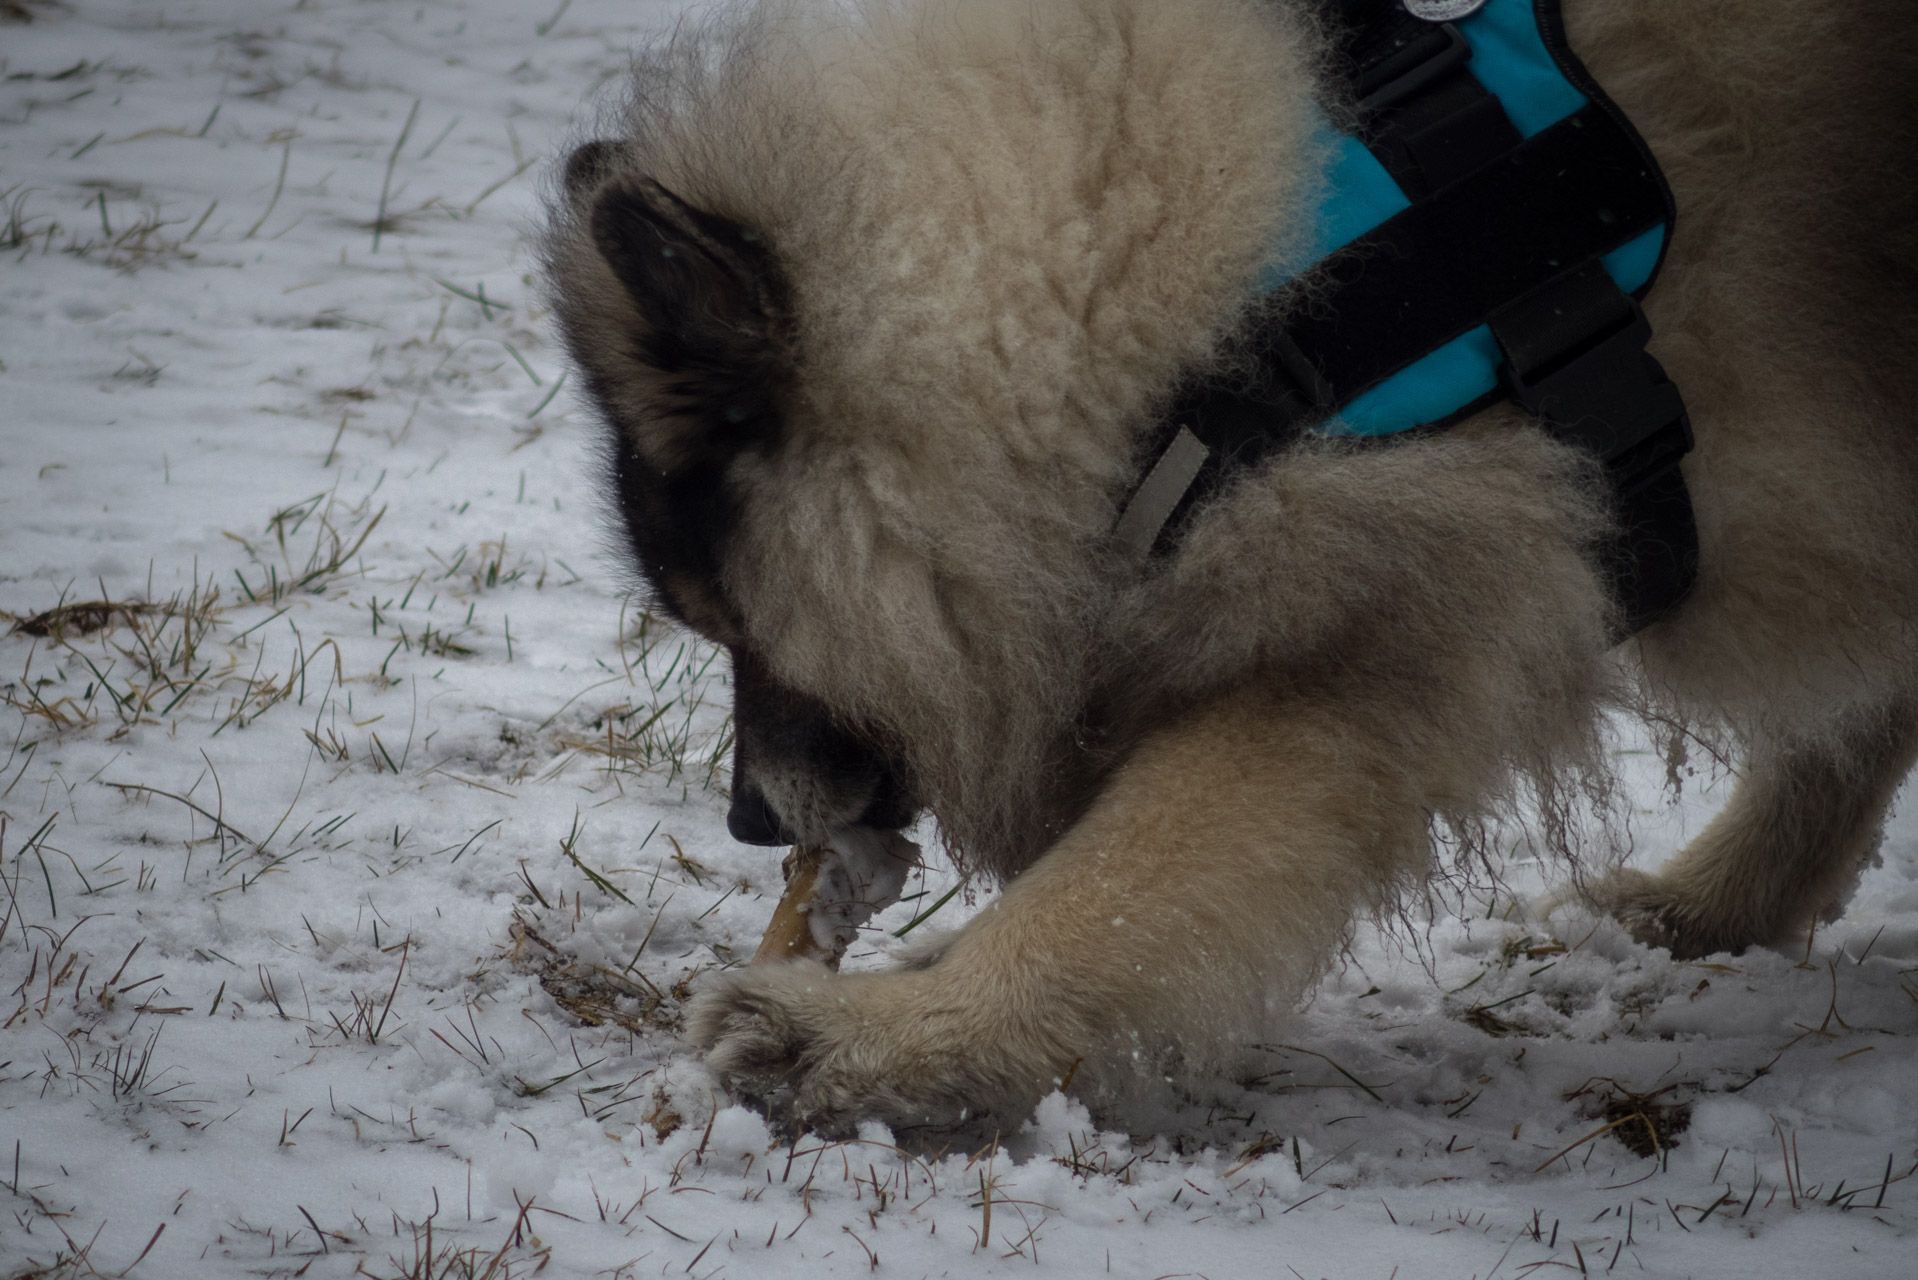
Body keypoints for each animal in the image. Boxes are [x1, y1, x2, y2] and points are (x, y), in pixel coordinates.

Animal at [540, 0, 1918, 1136]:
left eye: (732, 622)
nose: (746, 819)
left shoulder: (1358, 646)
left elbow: (1113, 887)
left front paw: (887, 1034)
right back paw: (1709, 905)